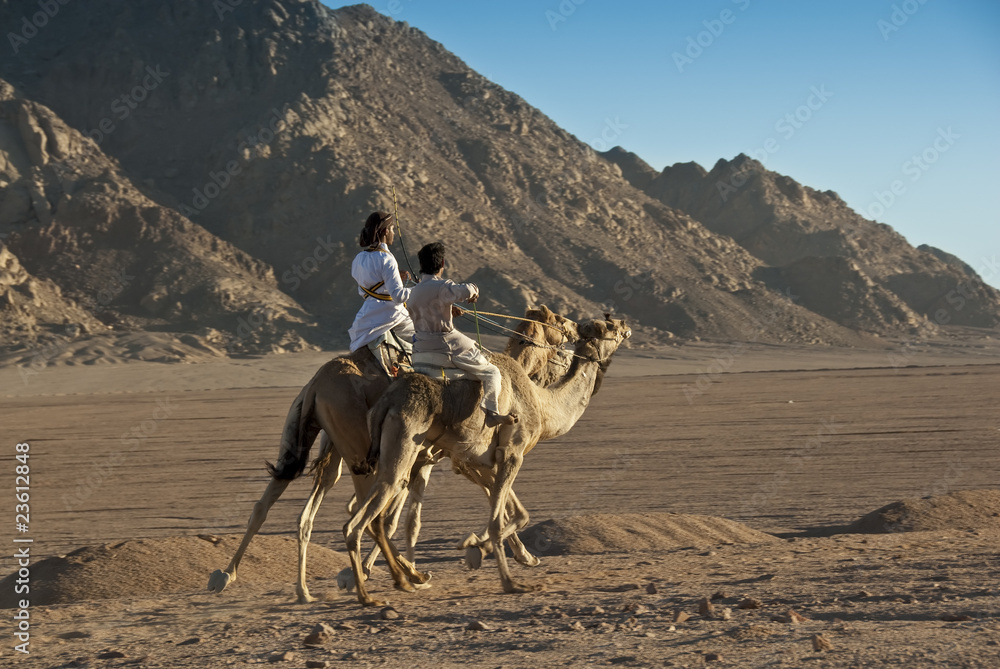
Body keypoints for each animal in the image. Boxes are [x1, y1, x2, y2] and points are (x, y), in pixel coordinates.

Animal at [208, 307, 577, 603]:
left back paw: (251, 580)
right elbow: (410, 517)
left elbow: (407, 515)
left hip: (314, 438)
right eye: (559, 322)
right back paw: (395, 576)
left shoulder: (429, 458)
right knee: (362, 512)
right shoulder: (439, 457)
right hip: (360, 449)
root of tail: (315, 384)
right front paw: (511, 554)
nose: (574, 331)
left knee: (277, 503)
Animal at [344, 316, 631, 606]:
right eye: (610, 328)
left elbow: (515, 512)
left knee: (366, 515)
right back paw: (373, 590)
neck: (540, 403)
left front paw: (489, 549)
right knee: (364, 518)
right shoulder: (510, 453)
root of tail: (387, 401)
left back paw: (397, 578)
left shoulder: (478, 461)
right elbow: (499, 519)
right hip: (402, 448)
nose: (625, 325)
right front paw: (504, 577)